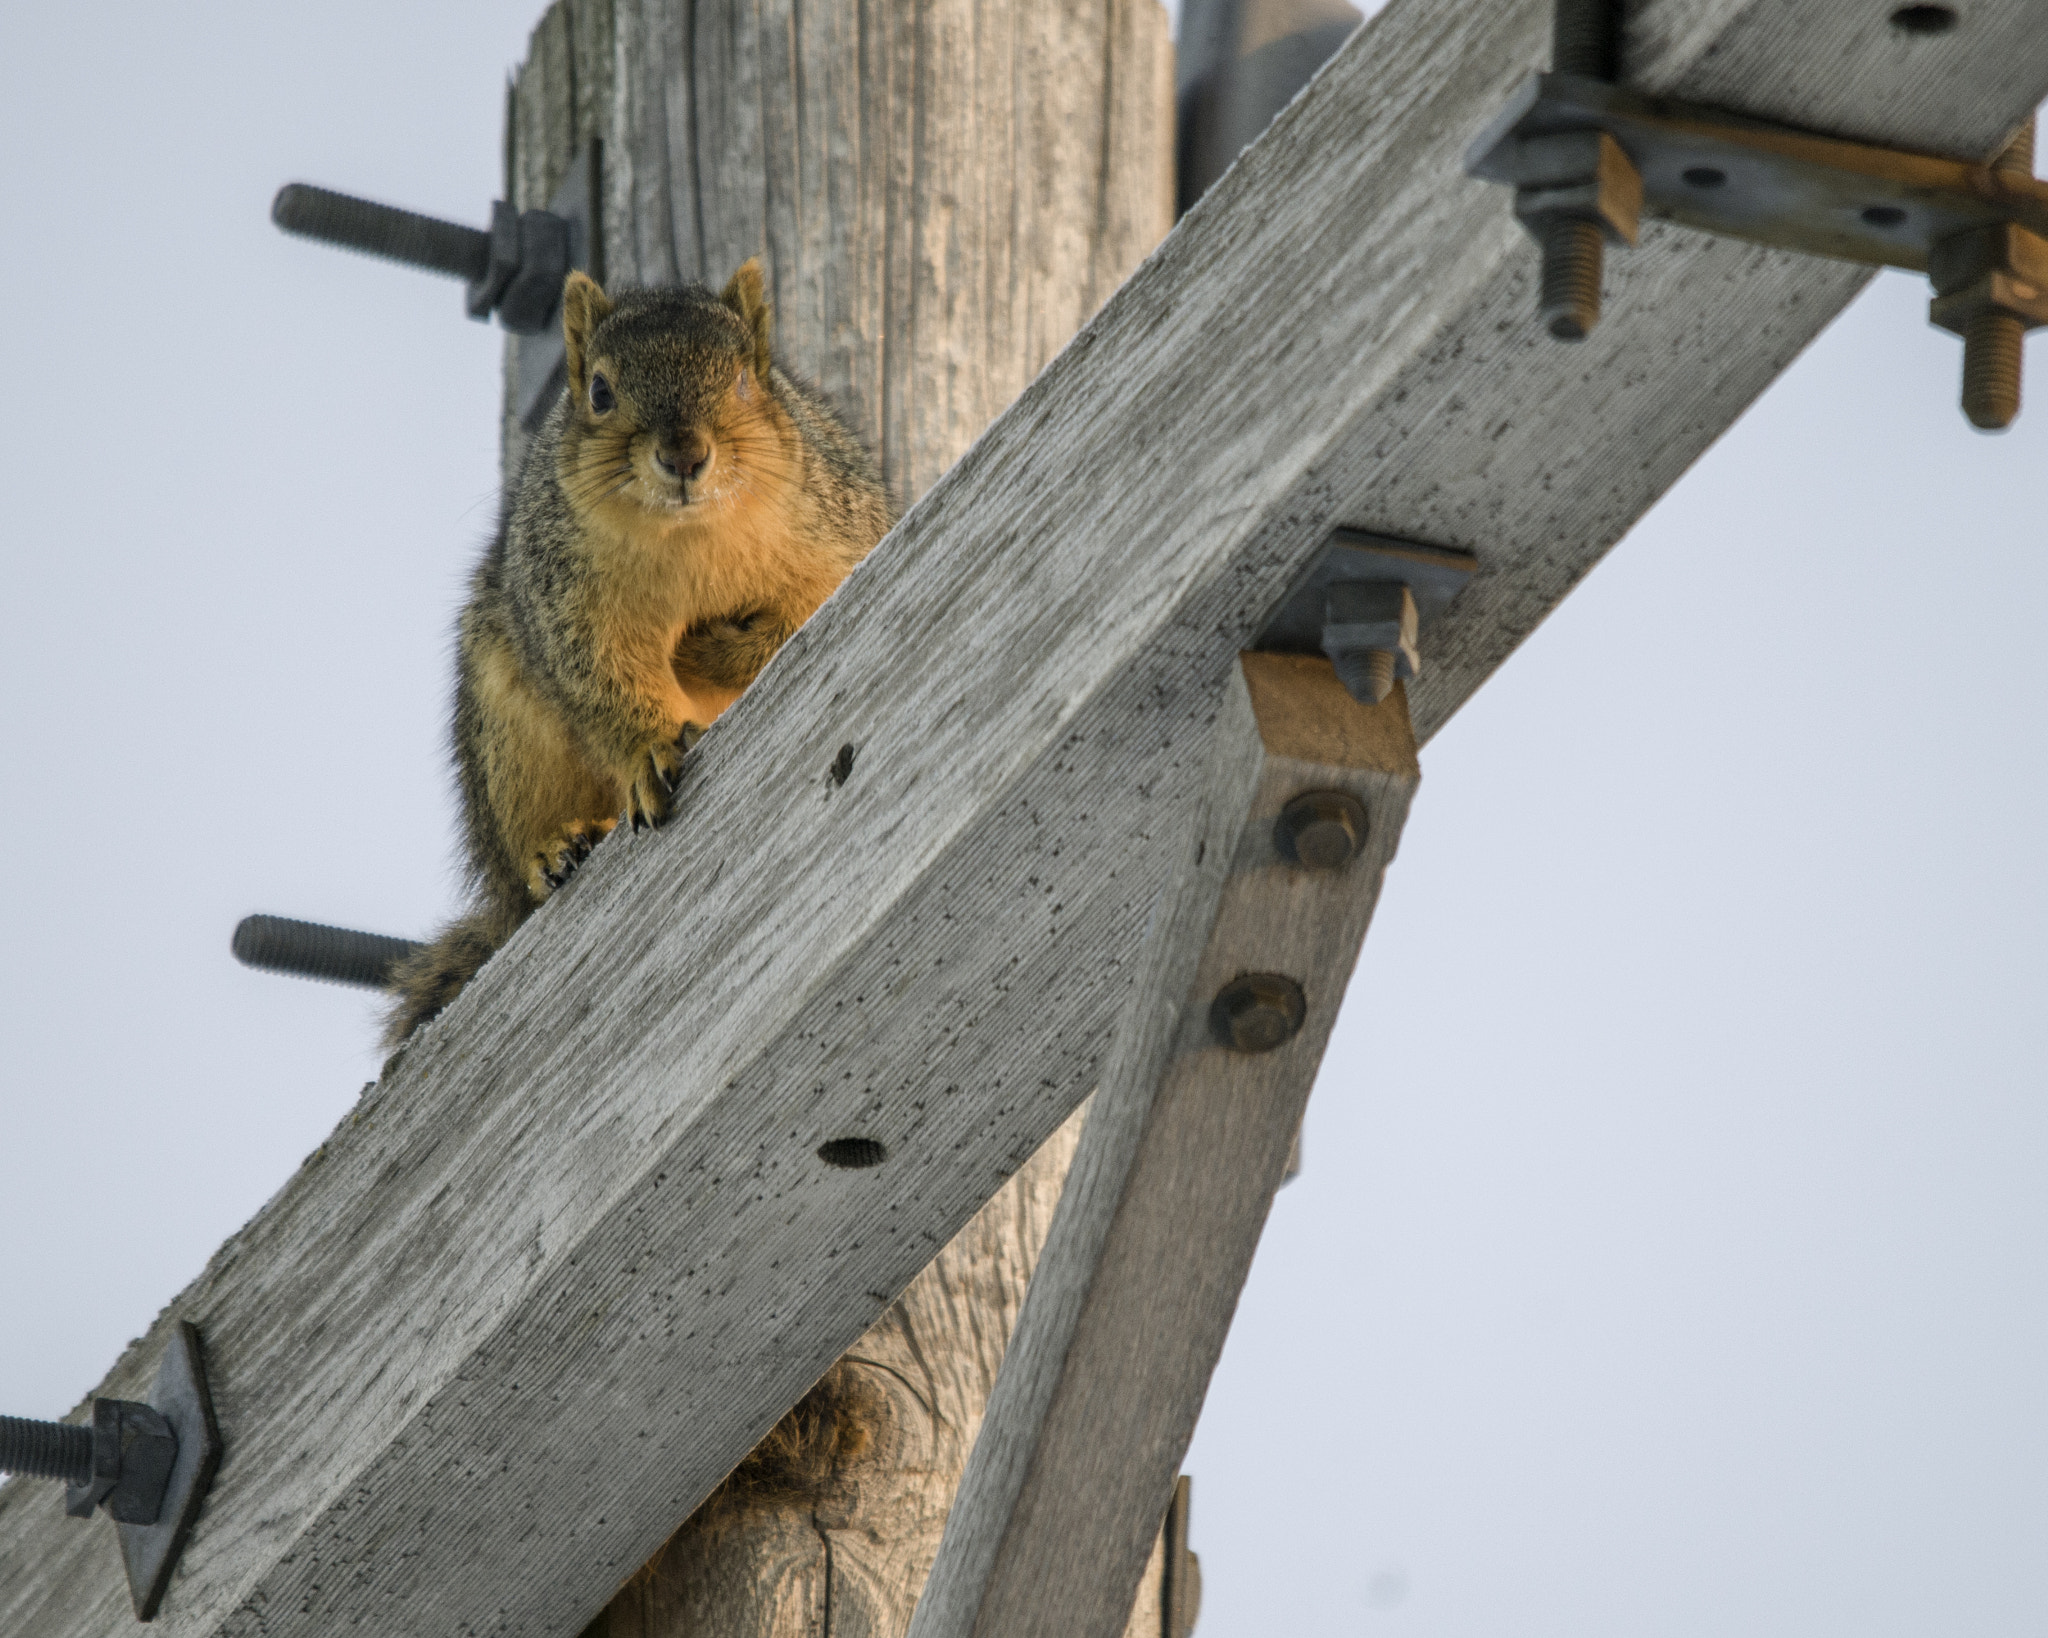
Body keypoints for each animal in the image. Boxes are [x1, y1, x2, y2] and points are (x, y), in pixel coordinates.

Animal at [385, 260, 894, 1048]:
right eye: (599, 391)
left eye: (744, 380)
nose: (684, 455)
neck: (687, 538)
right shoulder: (567, 604)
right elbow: (602, 683)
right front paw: (651, 750)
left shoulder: (838, 541)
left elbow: (790, 620)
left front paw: (703, 650)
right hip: (506, 738)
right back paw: (559, 851)